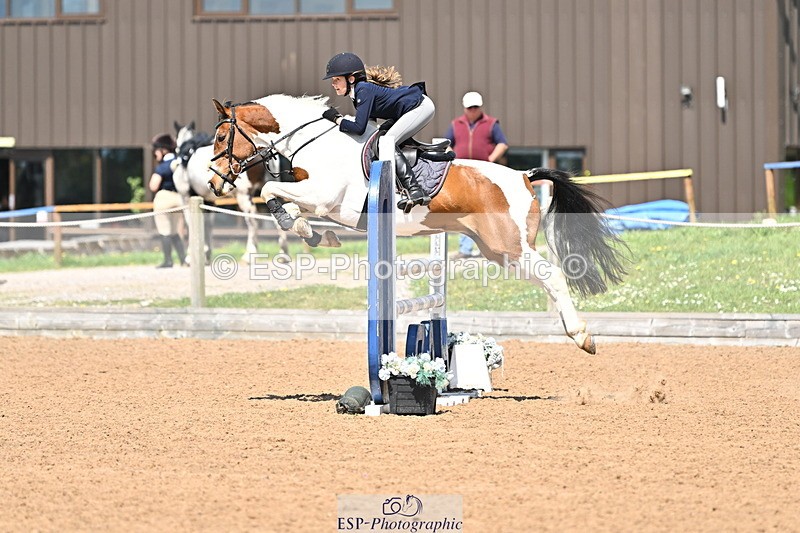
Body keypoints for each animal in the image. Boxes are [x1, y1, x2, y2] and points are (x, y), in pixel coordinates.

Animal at [171, 121, 290, 263]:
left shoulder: (186, 197)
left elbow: (191, 223)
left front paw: (191, 255)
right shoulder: (209, 200)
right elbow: (208, 224)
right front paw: (206, 253)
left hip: (243, 196)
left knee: (253, 221)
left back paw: (249, 254)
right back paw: (283, 253)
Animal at [206, 94, 628, 354]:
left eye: (222, 136)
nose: (213, 183)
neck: (317, 142)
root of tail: (525, 176)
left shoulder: (329, 199)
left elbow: (273, 190)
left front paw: (306, 230)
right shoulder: (320, 200)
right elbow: (285, 201)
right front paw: (311, 232)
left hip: (510, 246)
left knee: (552, 274)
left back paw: (582, 336)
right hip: (499, 252)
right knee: (546, 278)